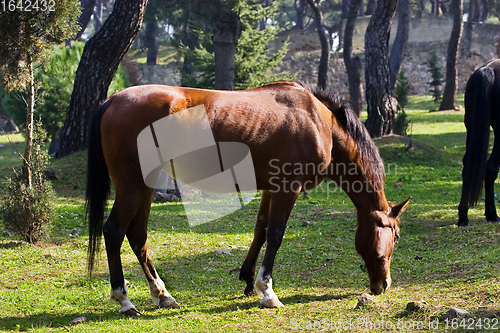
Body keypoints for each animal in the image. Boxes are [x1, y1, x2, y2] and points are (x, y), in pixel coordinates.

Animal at [87, 80, 410, 314]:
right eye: (394, 236)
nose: (384, 284)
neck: (319, 121)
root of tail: (112, 101)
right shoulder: (288, 188)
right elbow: (276, 235)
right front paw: (267, 291)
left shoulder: (271, 188)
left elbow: (261, 230)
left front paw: (247, 278)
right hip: (132, 188)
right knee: (114, 232)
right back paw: (125, 301)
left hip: (145, 187)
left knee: (137, 236)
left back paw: (162, 294)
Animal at [458, 59, 500, 226]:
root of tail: (489, 69)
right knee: (491, 167)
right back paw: (492, 214)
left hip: (471, 125)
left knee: (468, 165)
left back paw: (463, 215)